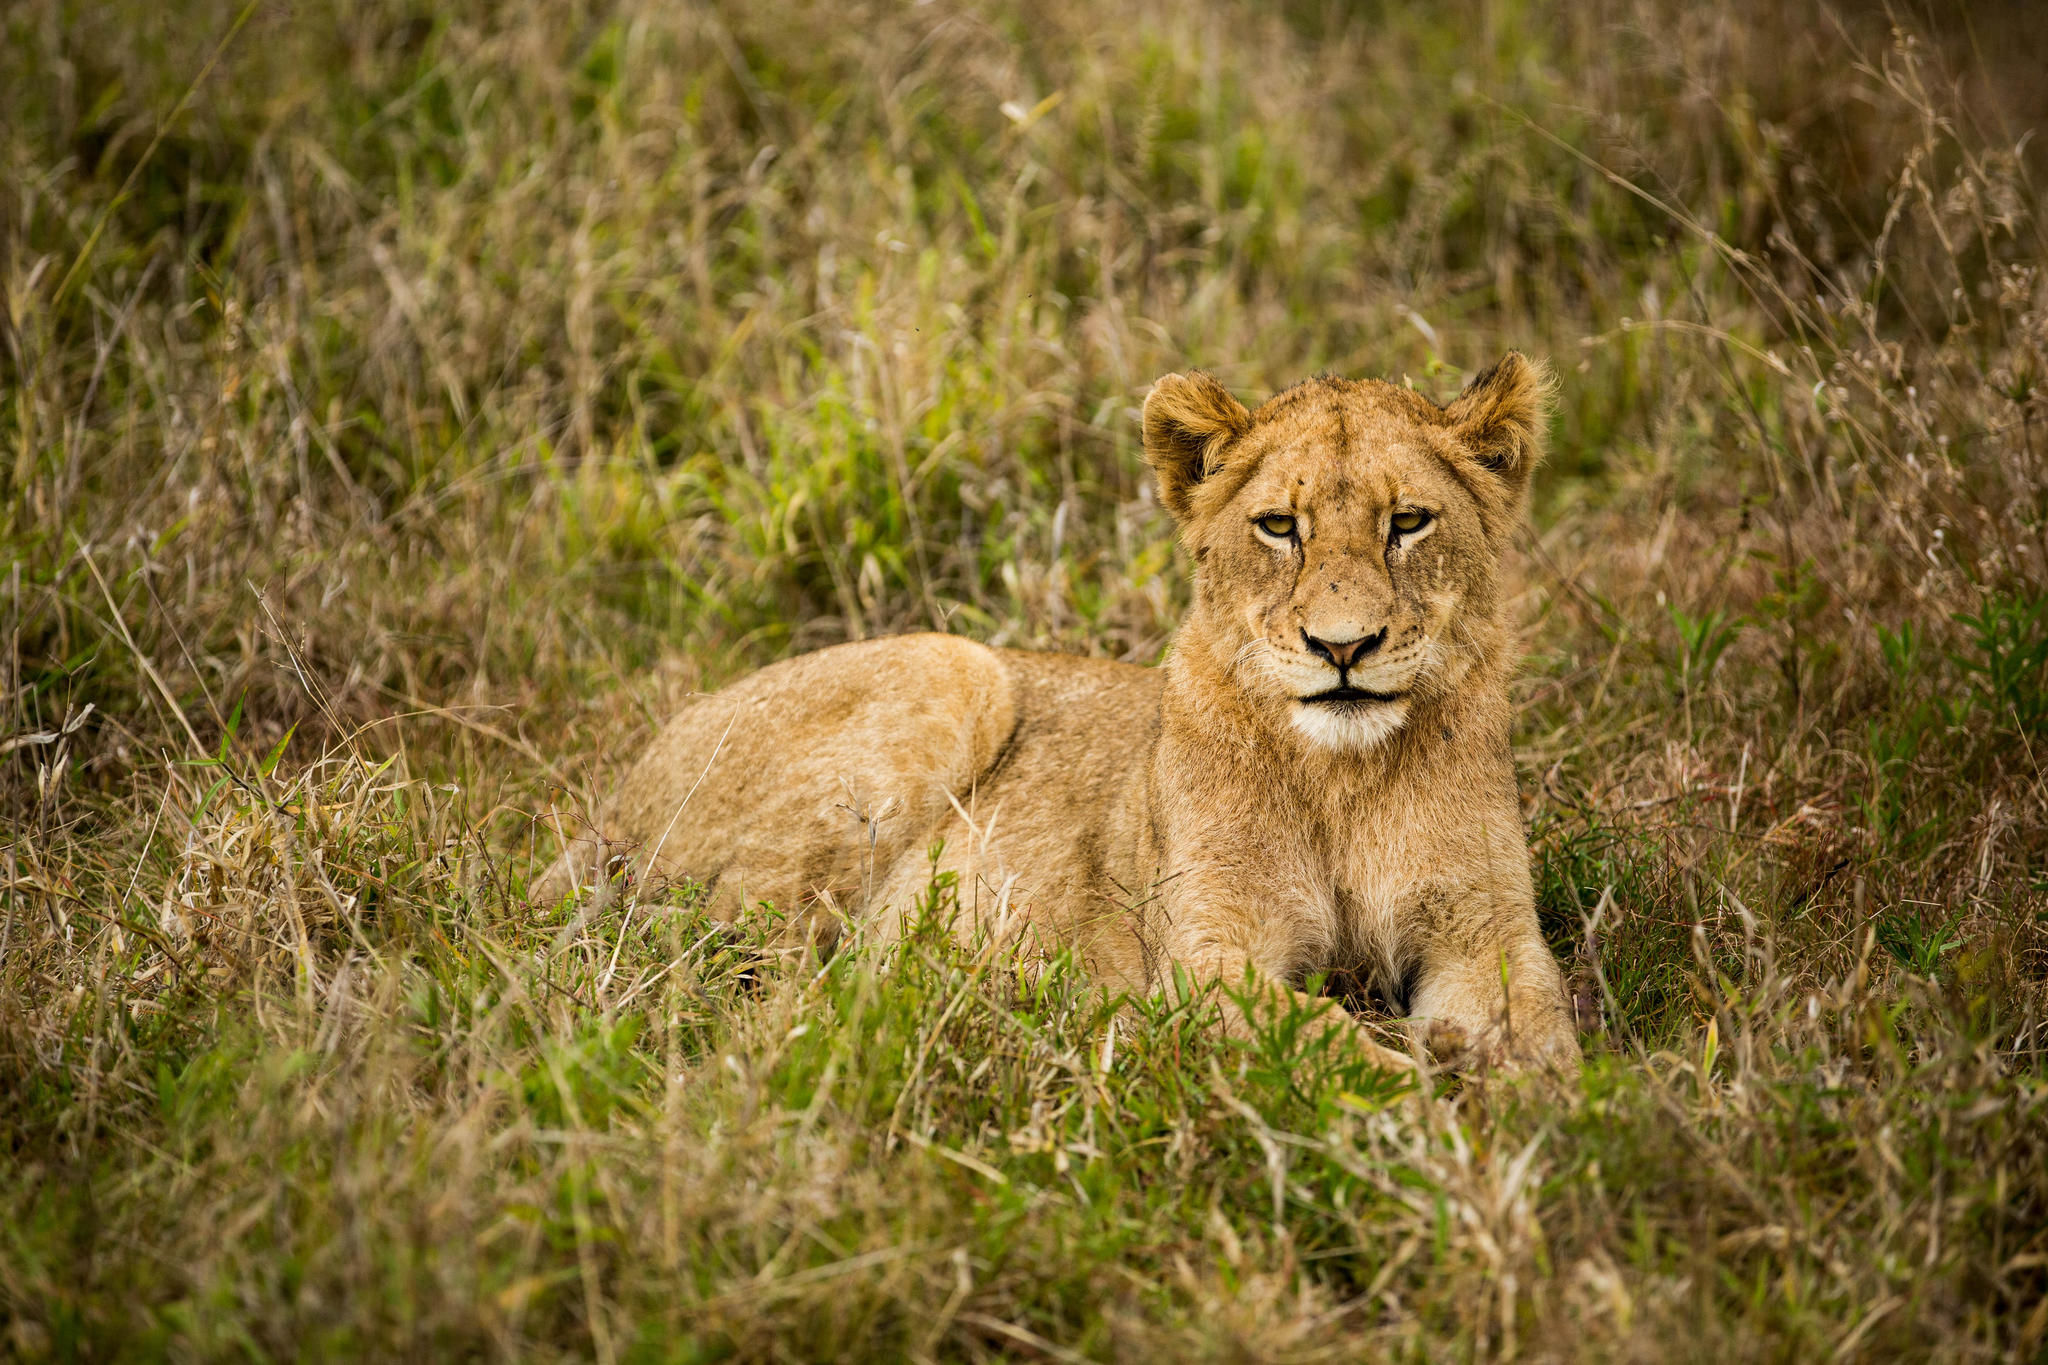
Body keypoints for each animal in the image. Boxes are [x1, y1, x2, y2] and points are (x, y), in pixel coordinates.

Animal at [540, 353, 1579, 1074]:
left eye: (1408, 522)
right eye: (1280, 527)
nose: (1343, 648)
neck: (1342, 777)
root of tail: (621, 789)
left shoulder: (1485, 929)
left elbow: (1548, 1032)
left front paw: (1534, 1105)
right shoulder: (1205, 958)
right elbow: (1329, 1045)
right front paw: (1437, 1102)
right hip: (953, 671)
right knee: (727, 956)